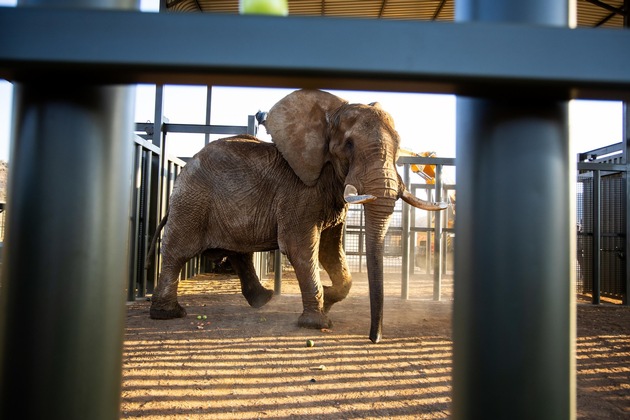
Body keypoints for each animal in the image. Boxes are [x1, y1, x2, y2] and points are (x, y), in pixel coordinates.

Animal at [148, 88, 446, 342]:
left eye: (399, 146)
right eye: (349, 145)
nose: (374, 338)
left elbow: (330, 249)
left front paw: (328, 297)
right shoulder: (300, 190)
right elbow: (300, 247)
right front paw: (317, 322)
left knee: (238, 252)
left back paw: (264, 299)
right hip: (192, 201)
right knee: (178, 252)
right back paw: (168, 314)